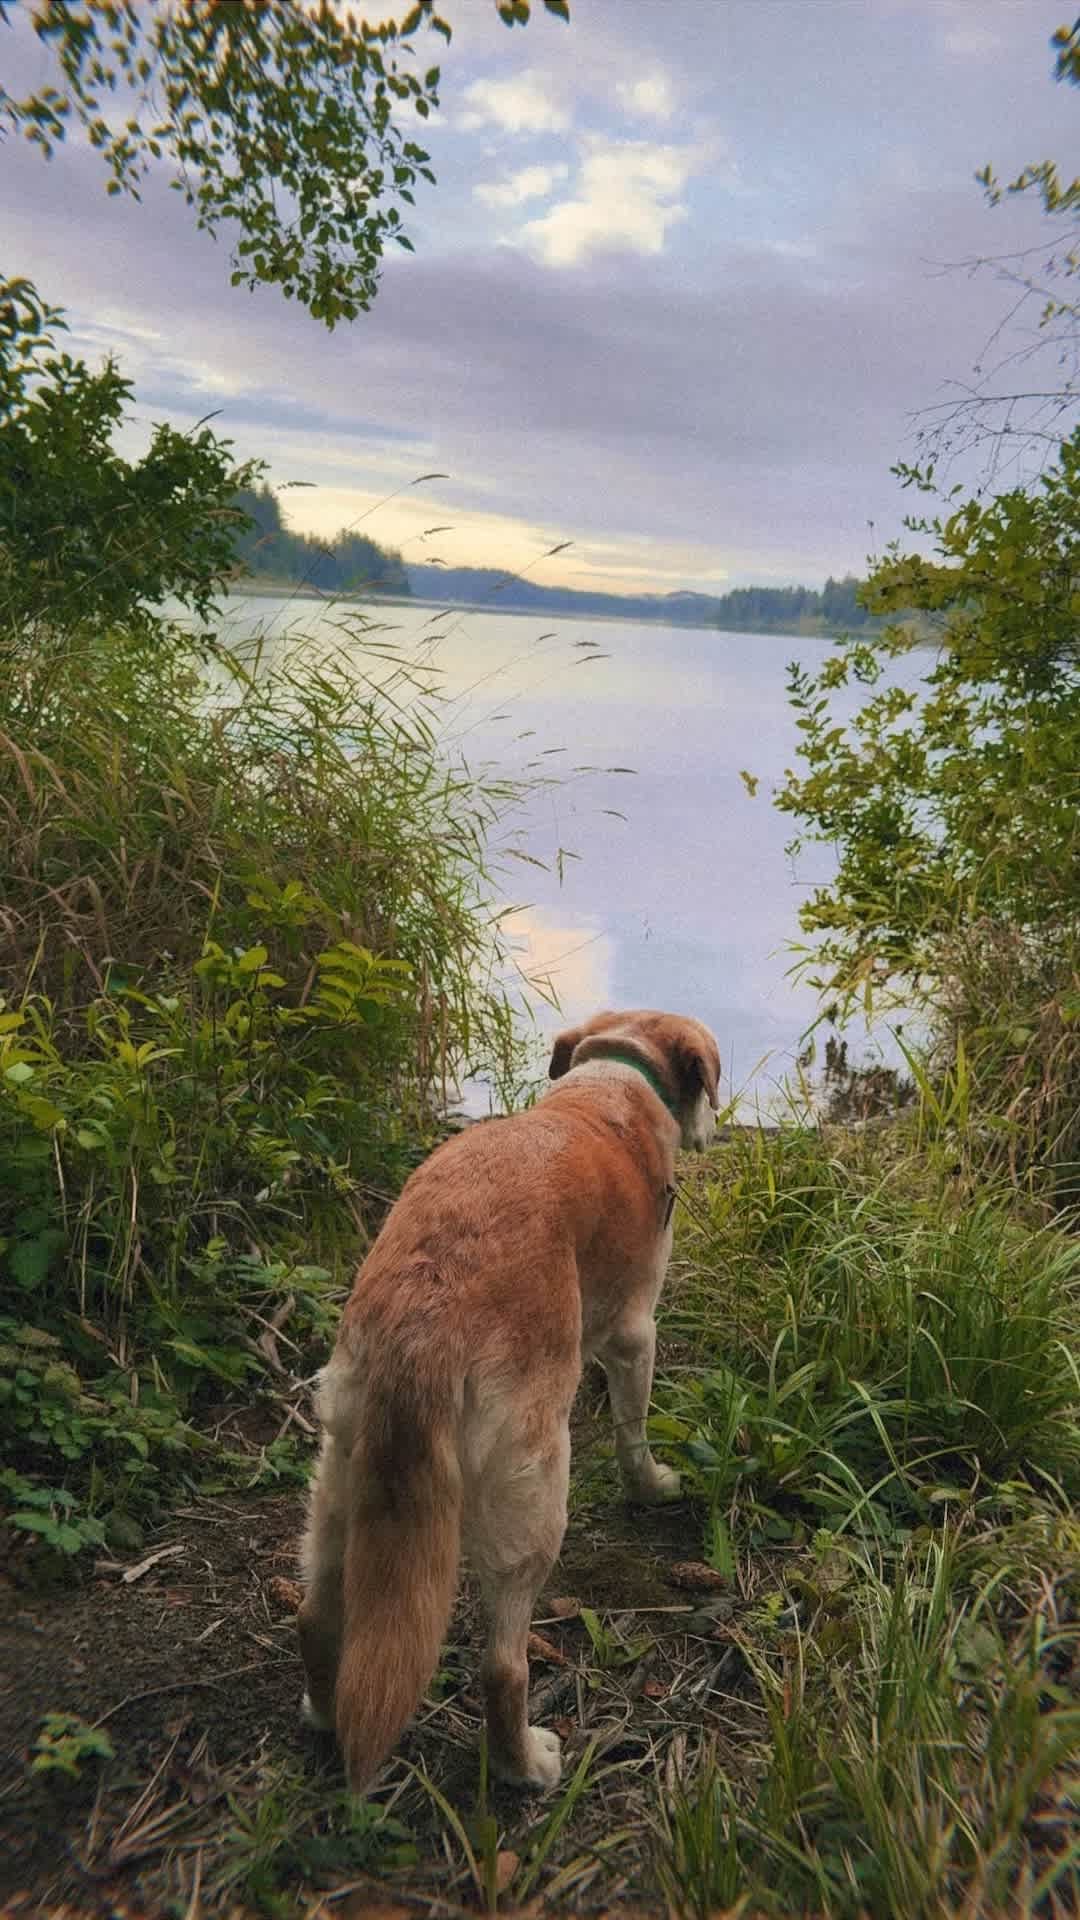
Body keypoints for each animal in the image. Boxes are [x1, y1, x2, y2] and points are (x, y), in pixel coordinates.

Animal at [295, 1013, 714, 1789]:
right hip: (534, 1490)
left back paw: (321, 1711)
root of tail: (424, 1321)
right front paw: (652, 1485)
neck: (613, 1082)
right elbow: (633, 1430)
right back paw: (526, 1764)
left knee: (315, 1615)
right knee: (502, 1667)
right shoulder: (635, 1333)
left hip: (340, 1472)